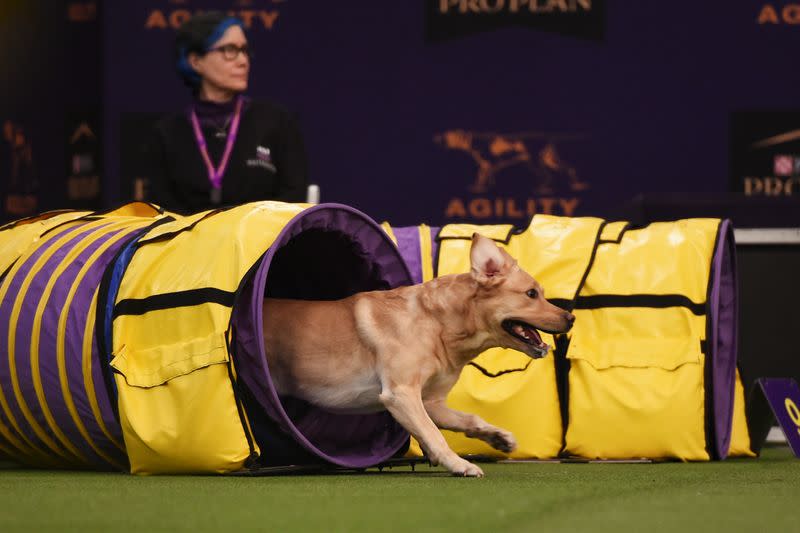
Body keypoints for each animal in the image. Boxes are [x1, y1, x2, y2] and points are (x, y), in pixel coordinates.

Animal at [264, 233, 576, 474]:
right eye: (531, 294)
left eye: (541, 292)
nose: (571, 318)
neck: (438, 325)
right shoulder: (401, 394)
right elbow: (434, 434)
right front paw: (460, 464)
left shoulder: (431, 401)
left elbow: (468, 420)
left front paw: (499, 437)